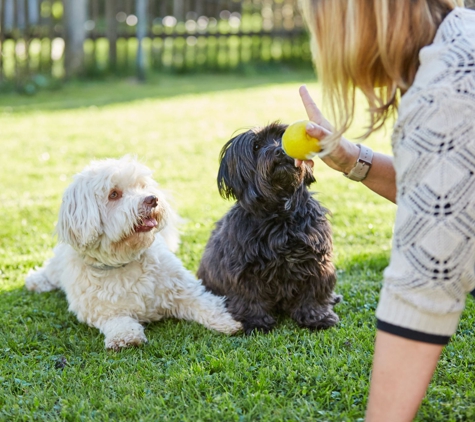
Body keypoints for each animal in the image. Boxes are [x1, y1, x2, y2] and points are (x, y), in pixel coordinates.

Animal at [26, 156, 242, 350]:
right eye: (113, 194)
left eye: (142, 186)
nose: (152, 199)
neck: (124, 259)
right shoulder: (100, 310)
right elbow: (118, 320)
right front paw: (125, 337)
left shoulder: (182, 288)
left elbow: (204, 303)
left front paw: (227, 322)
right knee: (51, 270)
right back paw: (36, 281)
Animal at [198, 123, 342, 336]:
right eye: (256, 146)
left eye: (281, 137)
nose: (280, 150)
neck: (279, 215)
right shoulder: (244, 269)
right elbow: (250, 297)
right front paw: (255, 322)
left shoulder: (316, 261)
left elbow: (312, 293)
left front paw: (317, 317)